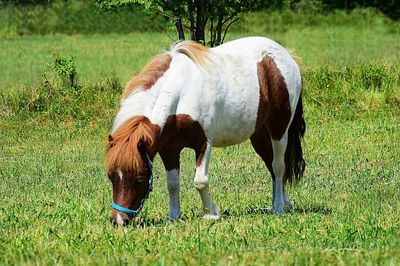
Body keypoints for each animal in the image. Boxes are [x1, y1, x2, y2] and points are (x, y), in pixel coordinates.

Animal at [106, 36, 306, 225]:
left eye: (140, 178)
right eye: (111, 177)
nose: (119, 220)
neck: (180, 93)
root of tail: (287, 56)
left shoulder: (203, 143)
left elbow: (200, 181)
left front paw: (211, 214)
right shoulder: (168, 149)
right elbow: (173, 183)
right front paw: (173, 216)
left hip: (279, 129)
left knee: (278, 166)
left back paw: (278, 207)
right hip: (260, 135)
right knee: (272, 165)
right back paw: (283, 203)